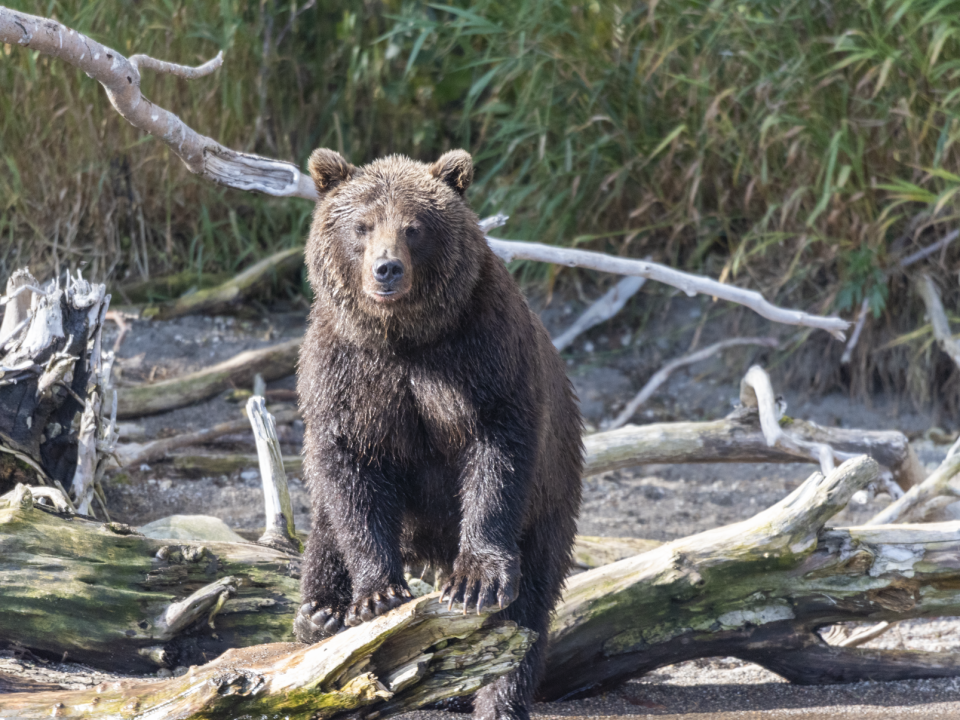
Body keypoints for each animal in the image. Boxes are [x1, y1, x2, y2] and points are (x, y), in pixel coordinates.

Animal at [294, 148, 576, 720]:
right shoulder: (345, 371)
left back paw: (500, 696)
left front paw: (476, 582)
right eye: (362, 226)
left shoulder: (482, 353)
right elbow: (349, 474)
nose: (386, 268)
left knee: (528, 614)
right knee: (327, 527)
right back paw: (319, 613)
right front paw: (376, 595)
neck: (404, 337)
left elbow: (497, 452)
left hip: (553, 500)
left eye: (414, 227)